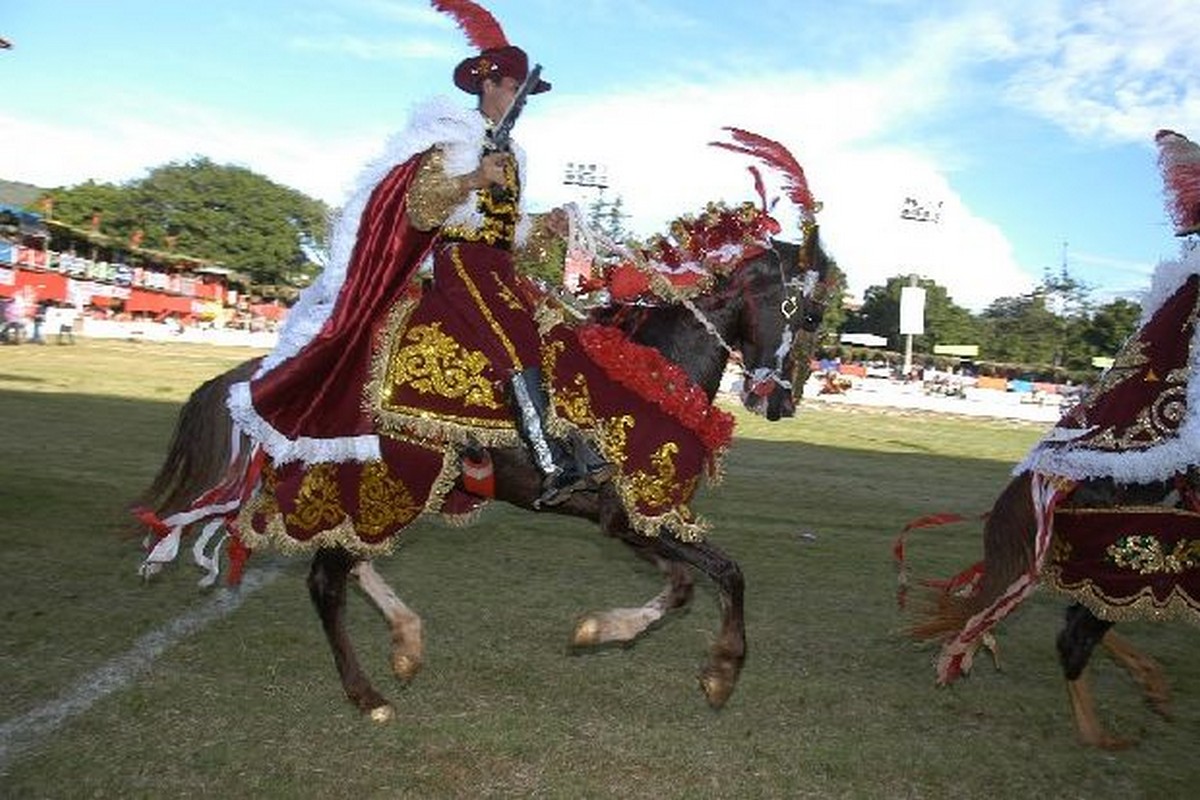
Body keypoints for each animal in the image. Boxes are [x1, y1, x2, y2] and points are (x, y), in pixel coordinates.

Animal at [131, 130, 830, 719]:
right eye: (811, 313)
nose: (782, 401)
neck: (654, 363)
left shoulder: (626, 520)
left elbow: (685, 585)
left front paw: (601, 630)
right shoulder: (639, 514)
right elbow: (728, 573)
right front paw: (722, 672)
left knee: (350, 564)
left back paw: (406, 643)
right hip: (385, 487)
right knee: (326, 579)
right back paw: (367, 694)